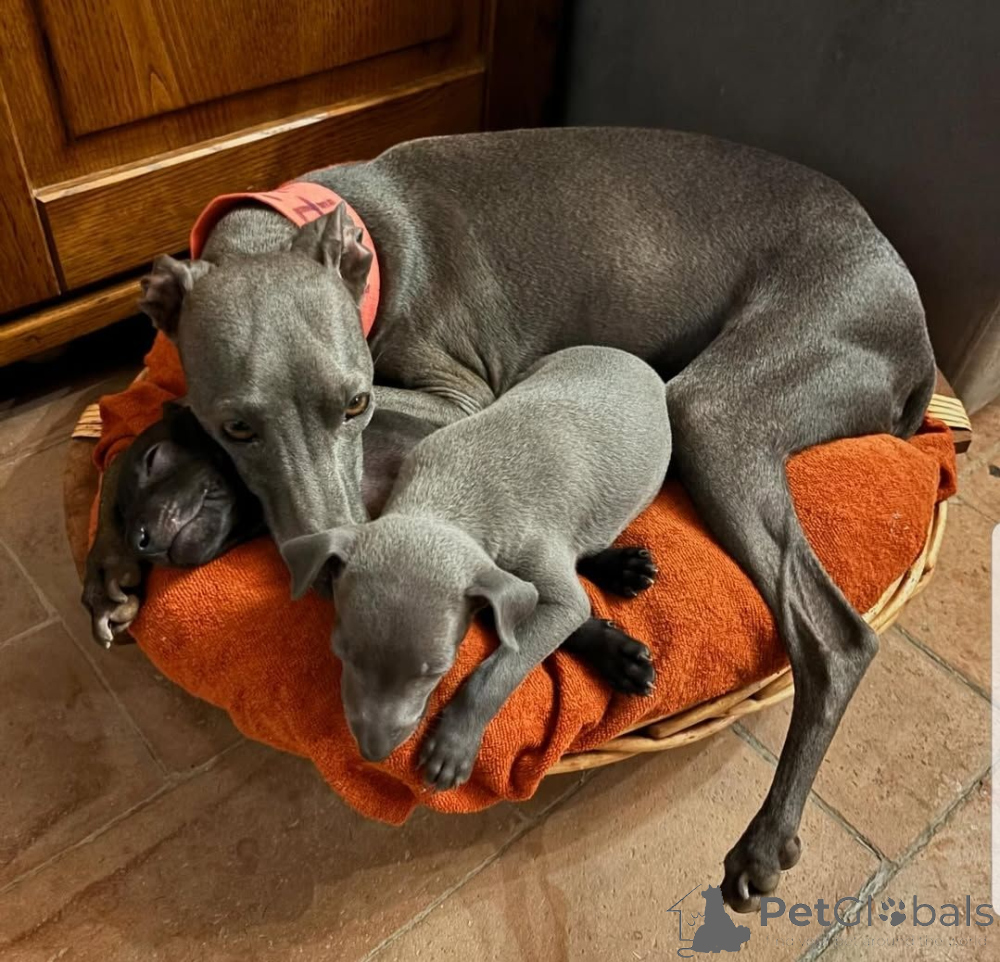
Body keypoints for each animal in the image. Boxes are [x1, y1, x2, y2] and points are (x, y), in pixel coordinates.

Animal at [281, 346, 670, 783]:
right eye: (342, 652)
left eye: (437, 671)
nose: (373, 752)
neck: (448, 499)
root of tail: (620, 353)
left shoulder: (544, 585)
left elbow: (502, 666)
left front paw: (453, 743)